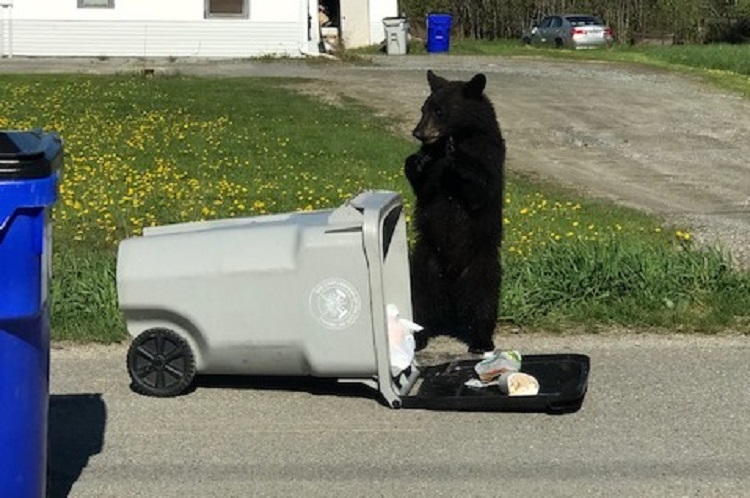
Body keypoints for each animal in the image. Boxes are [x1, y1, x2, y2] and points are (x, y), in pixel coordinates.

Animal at [408, 70, 508, 354]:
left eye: (440, 111)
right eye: (423, 109)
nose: (418, 132)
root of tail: (451, 288)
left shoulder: (489, 153)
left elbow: (480, 188)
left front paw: (457, 158)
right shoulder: (432, 170)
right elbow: (424, 189)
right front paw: (415, 161)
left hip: (482, 265)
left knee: (484, 301)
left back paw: (481, 341)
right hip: (424, 262)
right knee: (418, 299)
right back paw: (418, 337)